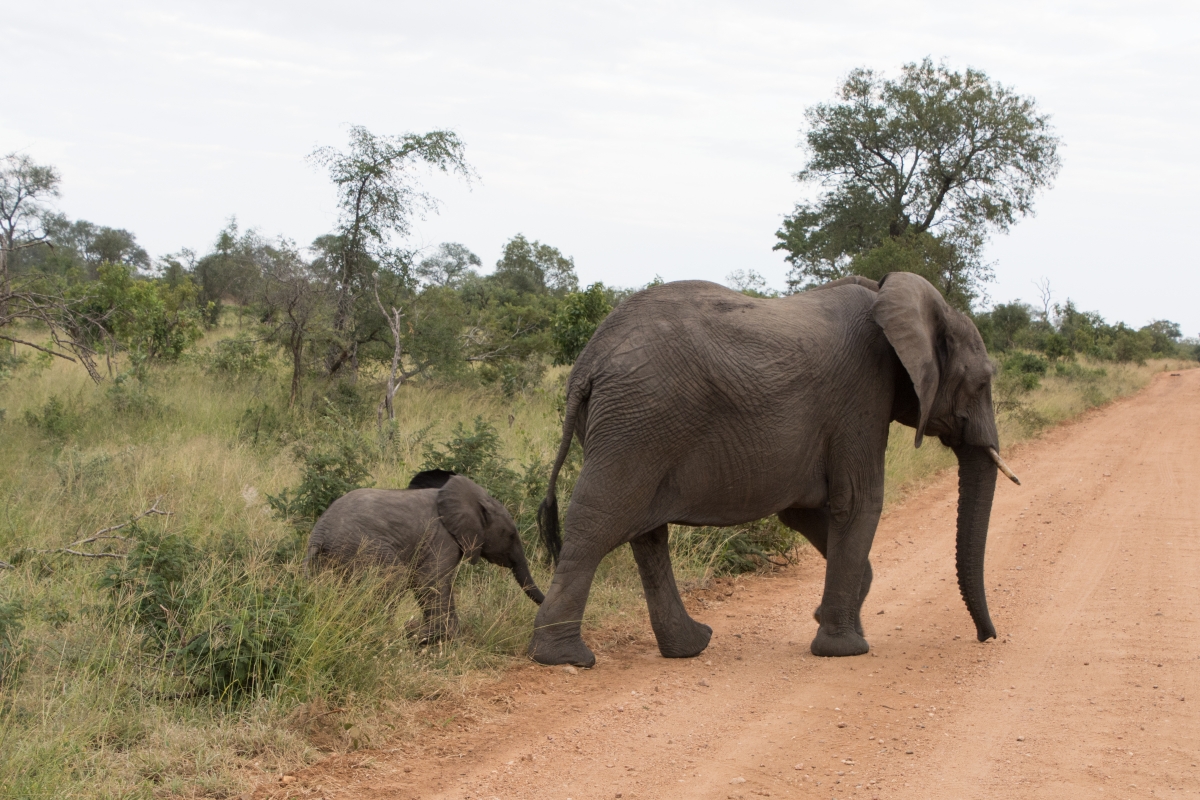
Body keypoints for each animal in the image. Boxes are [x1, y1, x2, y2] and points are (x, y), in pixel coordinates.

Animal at [302, 472, 547, 642]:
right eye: (511, 534)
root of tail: (319, 534)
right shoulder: (442, 538)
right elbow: (430, 580)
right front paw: (441, 638)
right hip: (363, 547)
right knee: (393, 578)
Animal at [530, 272, 1017, 666]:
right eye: (982, 383)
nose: (986, 638)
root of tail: (588, 363)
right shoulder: (862, 396)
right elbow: (859, 502)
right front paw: (845, 649)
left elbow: (804, 512)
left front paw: (831, 617)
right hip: (639, 420)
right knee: (598, 523)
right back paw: (562, 658)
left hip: (632, 424)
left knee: (646, 534)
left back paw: (690, 647)